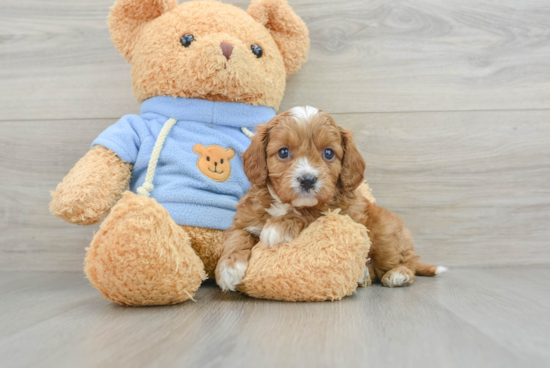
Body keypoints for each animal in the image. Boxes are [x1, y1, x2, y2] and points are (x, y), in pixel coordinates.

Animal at [217, 105, 448, 290]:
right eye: (283, 152)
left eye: (328, 153)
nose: (308, 180)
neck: (286, 204)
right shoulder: (245, 219)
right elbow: (237, 236)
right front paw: (229, 268)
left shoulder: (341, 211)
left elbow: (312, 213)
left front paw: (279, 227)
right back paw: (364, 275)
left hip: (385, 233)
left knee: (406, 261)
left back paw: (399, 274)